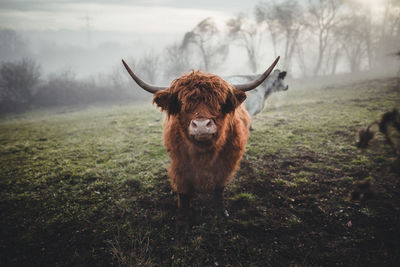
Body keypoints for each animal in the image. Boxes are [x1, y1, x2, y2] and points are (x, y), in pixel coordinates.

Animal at [123, 57, 280, 225]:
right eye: (182, 103)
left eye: (219, 102)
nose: (202, 126)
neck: (203, 153)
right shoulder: (180, 165)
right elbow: (183, 191)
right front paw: (183, 216)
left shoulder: (226, 164)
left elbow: (219, 189)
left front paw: (221, 212)